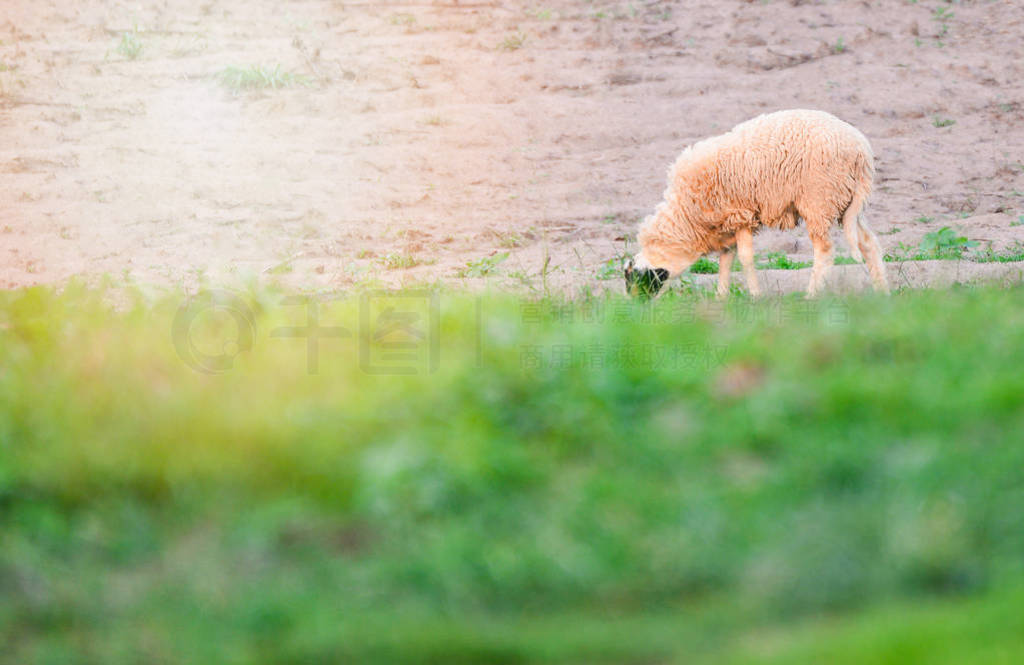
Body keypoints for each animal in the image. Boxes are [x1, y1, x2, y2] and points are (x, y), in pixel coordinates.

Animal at [622, 108, 888, 299]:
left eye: (637, 279)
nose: (633, 311)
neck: (687, 216)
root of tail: (861, 151)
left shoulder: (740, 216)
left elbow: (745, 258)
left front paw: (755, 295)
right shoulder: (727, 225)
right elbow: (726, 260)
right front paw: (721, 297)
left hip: (819, 200)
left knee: (824, 250)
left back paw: (811, 294)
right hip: (848, 203)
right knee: (868, 243)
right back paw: (881, 292)